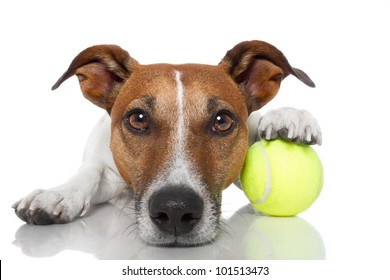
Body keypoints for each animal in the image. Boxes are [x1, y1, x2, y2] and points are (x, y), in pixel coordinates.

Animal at [12, 40, 322, 246]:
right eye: (138, 119)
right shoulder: (107, 168)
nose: (175, 209)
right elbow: (90, 173)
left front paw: (286, 117)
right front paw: (57, 194)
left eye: (222, 121)